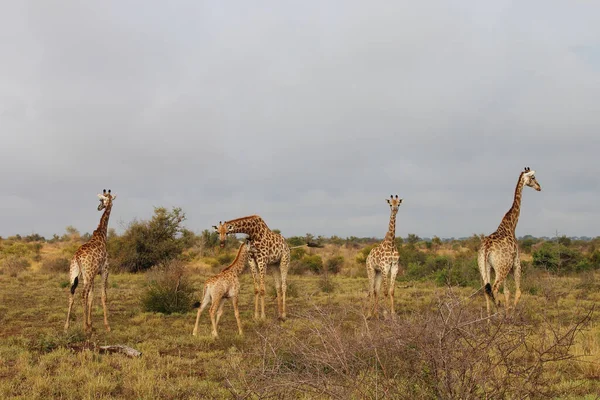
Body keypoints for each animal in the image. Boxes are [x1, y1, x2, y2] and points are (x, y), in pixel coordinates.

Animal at [64, 189, 116, 332]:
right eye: (101, 199)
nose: (99, 207)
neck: (102, 236)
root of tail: (77, 257)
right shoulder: (104, 270)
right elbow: (103, 296)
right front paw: (106, 325)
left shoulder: (91, 275)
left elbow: (92, 297)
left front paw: (91, 323)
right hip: (87, 273)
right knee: (83, 294)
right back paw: (84, 327)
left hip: (74, 273)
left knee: (71, 294)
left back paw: (66, 326)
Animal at [478, 167, 544, 318]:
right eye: (533, 177)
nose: (539, 187)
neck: (511, 225)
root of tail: (486, 248)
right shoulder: (516, 263)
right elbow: (518, 291)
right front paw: (512, 316)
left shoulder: (507, 267)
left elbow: (507, 292)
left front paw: (508, 314)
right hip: (501, 268)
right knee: (494, 289)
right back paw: (498, 317)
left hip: (485, 267)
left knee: (486, 290)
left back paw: (488, 319)